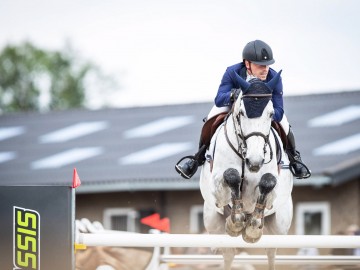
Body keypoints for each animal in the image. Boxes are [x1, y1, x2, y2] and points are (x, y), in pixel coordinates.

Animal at [198, 71, 294, 270]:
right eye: (242, 112)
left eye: (271, 114)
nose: (255, 161)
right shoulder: (218, 191)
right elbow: (232, 176)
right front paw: (237, 221)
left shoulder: (272, 191)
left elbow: (267, 182)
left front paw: (252, 228)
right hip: (213, 221)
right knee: (228, 252)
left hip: (279, 225)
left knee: (271, 252)